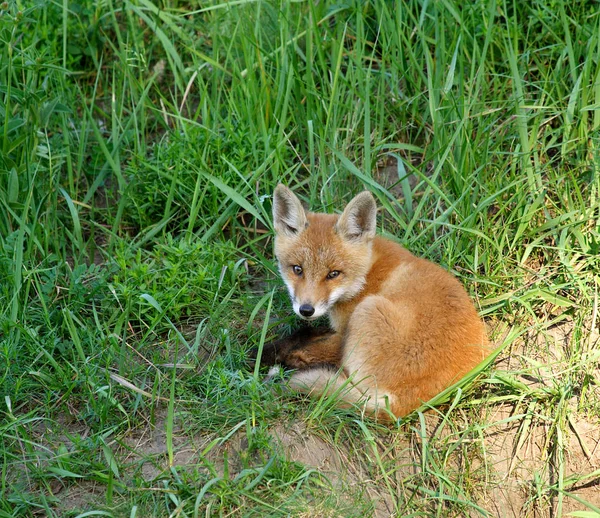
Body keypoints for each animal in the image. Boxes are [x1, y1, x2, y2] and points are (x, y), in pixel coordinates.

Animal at [260, 186, 490, 422]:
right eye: (297, 269)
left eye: (333, 274)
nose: (306, 310)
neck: (366, 275)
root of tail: (400, 408)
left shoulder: (344, 333)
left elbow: (302, 347)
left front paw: (270, 356)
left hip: (368, 310)